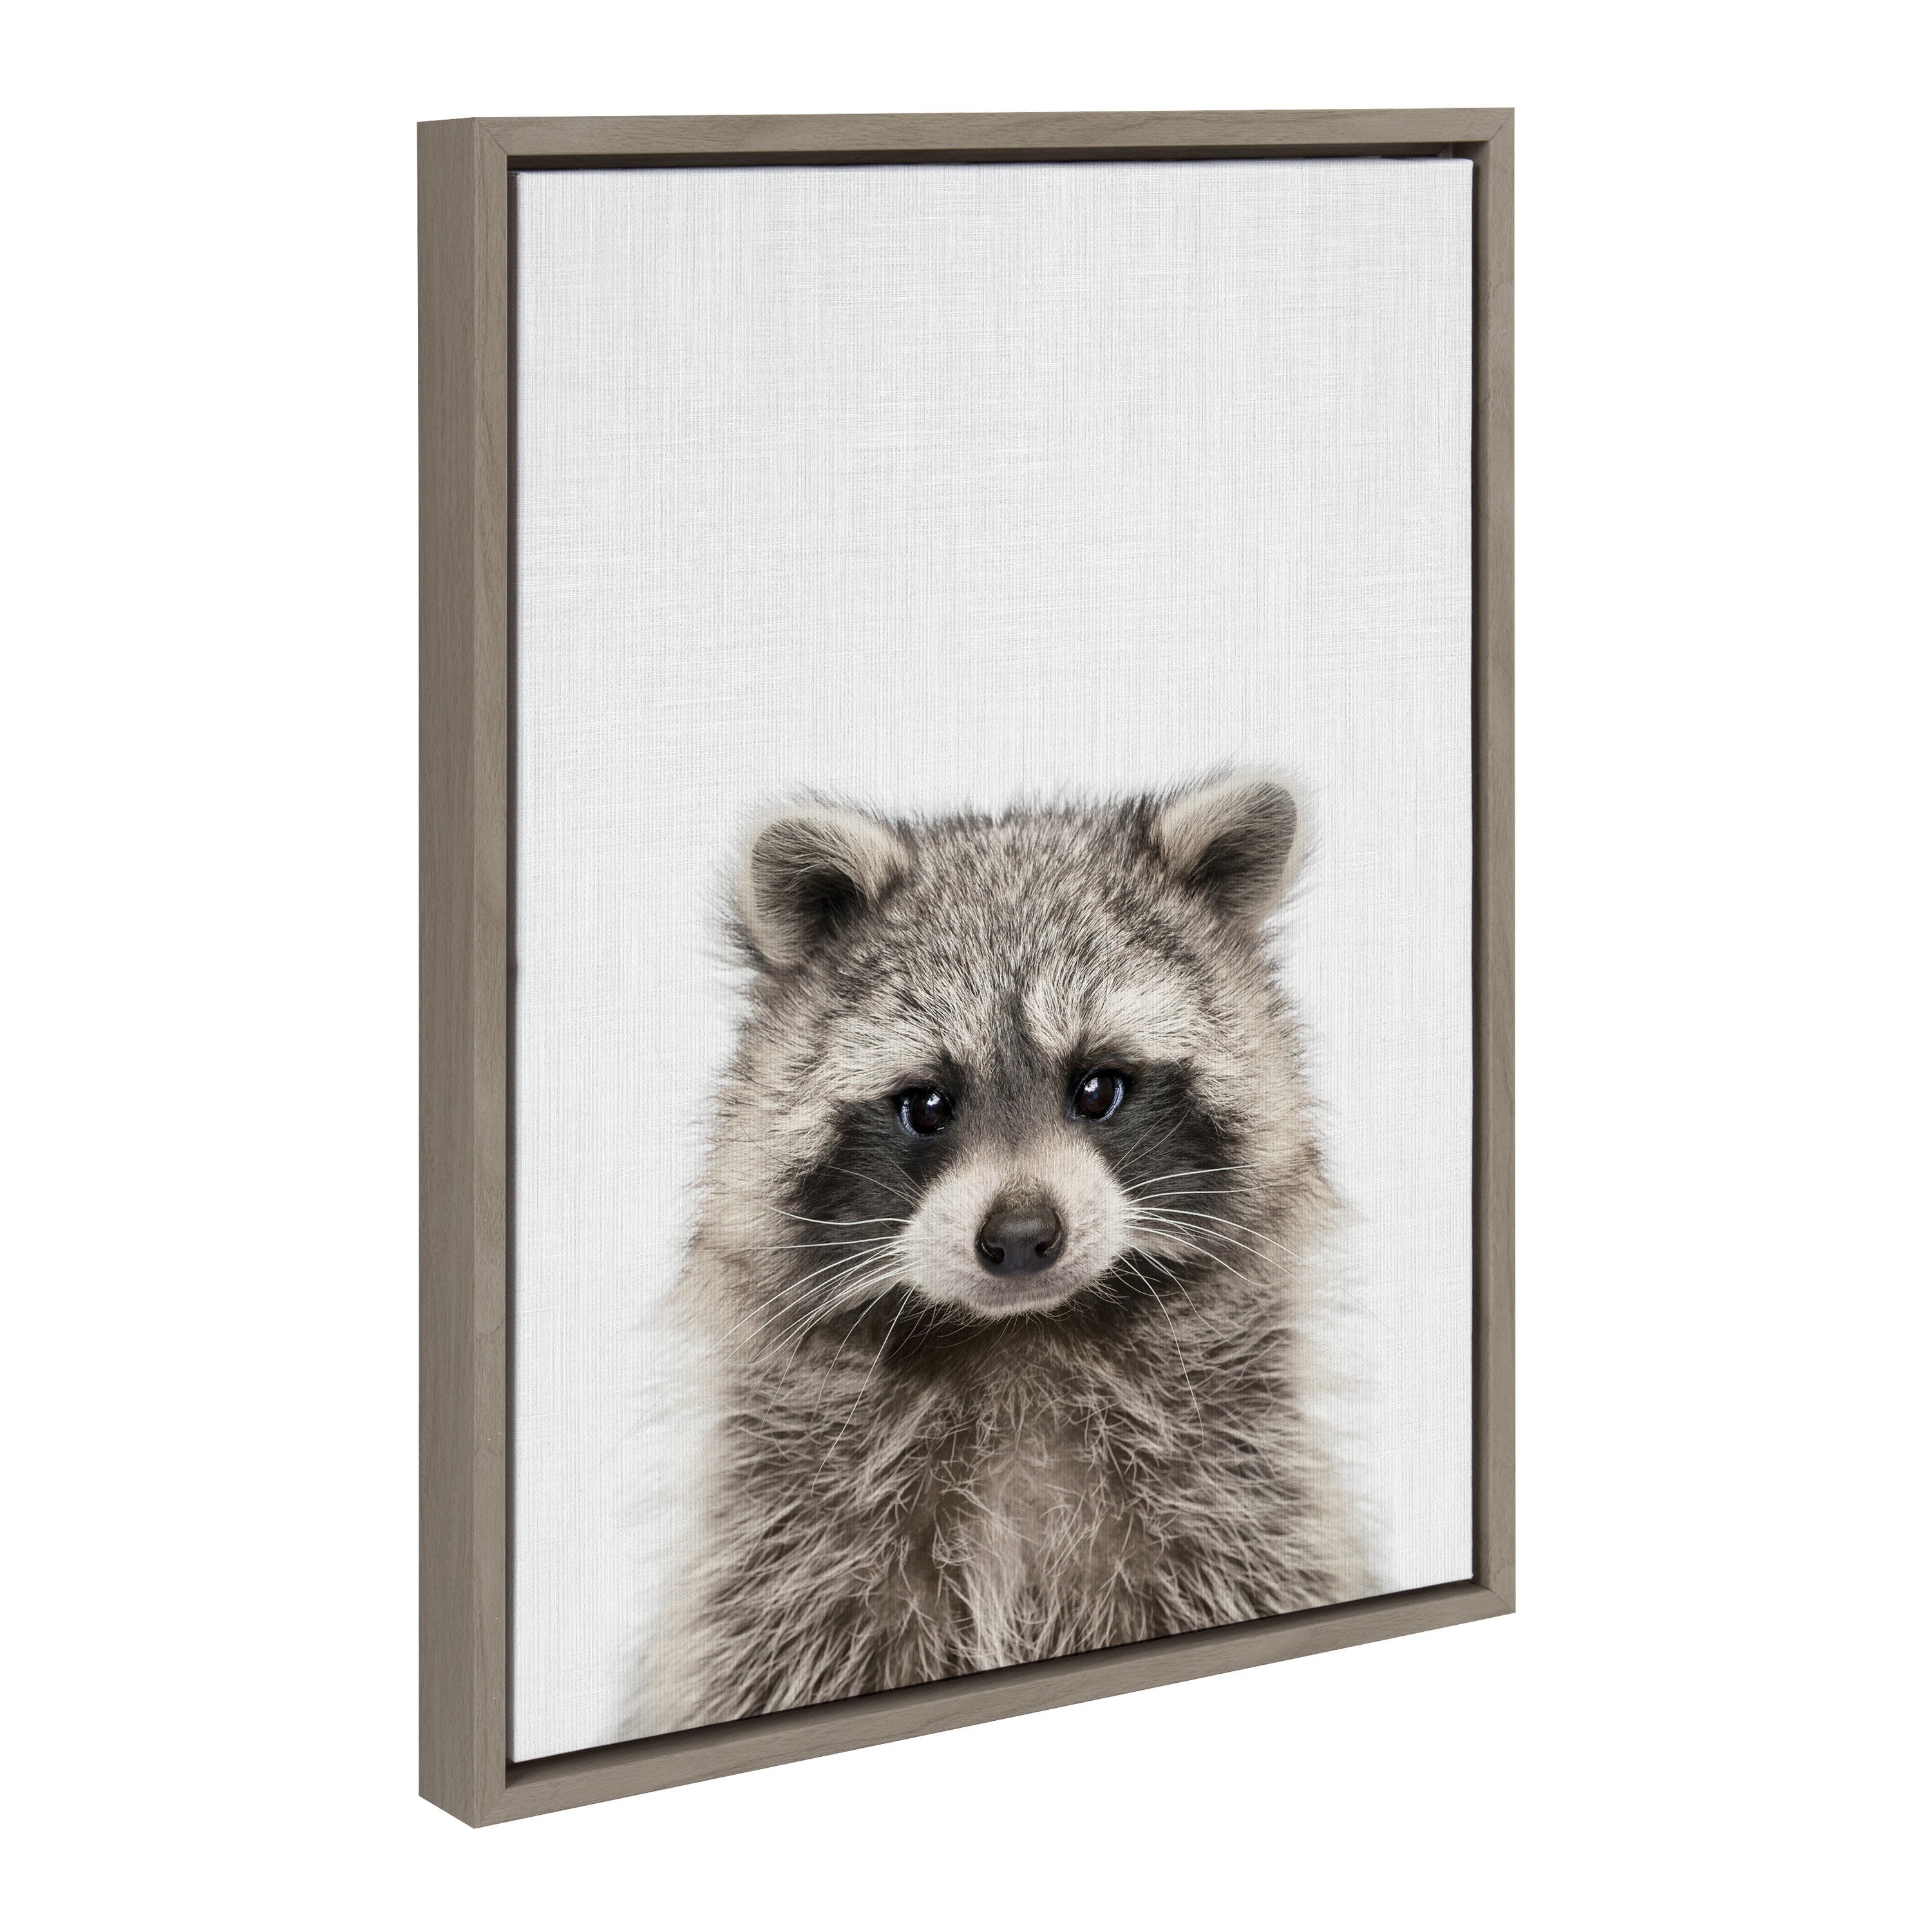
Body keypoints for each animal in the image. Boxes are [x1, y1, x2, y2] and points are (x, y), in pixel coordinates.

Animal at [660, 774, 1362, 1730]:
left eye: (1099, 1088)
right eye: (926, 1105)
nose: (1023, 1237)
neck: (1020, 1338)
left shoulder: (1239, 1503)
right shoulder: (790, 1557)